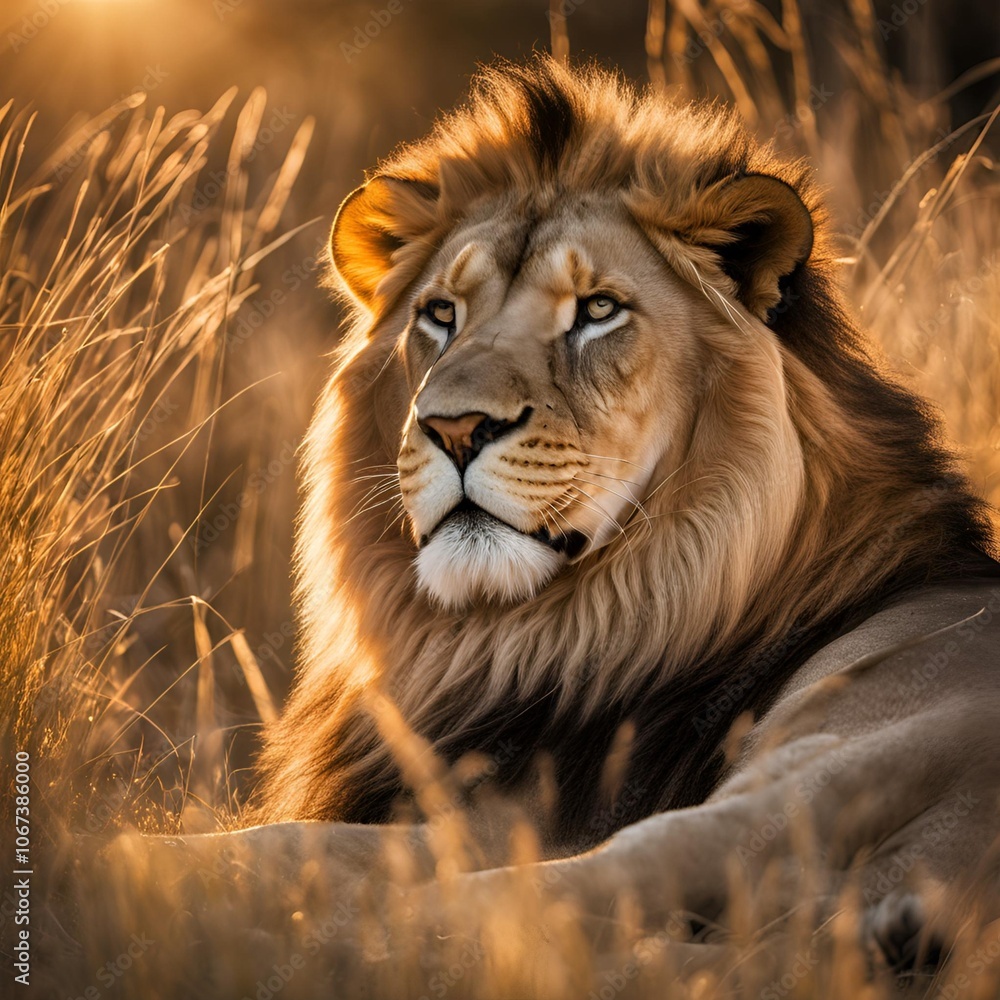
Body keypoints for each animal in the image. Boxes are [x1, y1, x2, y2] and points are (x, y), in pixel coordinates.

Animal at [253, 57, 1000, 975]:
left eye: (598, 311)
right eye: (440, 314)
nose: (454, 427)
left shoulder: (512, 817)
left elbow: (278, 845)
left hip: (816, 766)